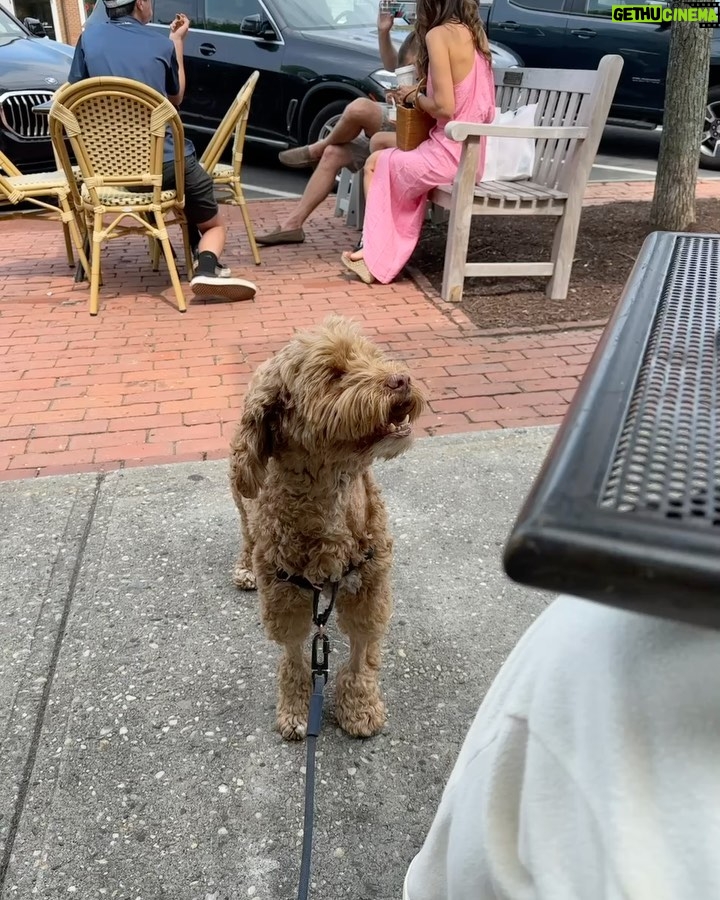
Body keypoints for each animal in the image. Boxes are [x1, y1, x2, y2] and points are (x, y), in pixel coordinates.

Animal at [228, 316, 424, 740]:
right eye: (334, 374)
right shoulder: (283, 596)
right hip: (241, 503)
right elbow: (294, 653)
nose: (402, 378)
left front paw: (360, 704)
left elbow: (362, 651)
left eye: (372, 356)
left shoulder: (370, 587)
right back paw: (244, 567)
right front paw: (296, 706)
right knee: (246, 534)